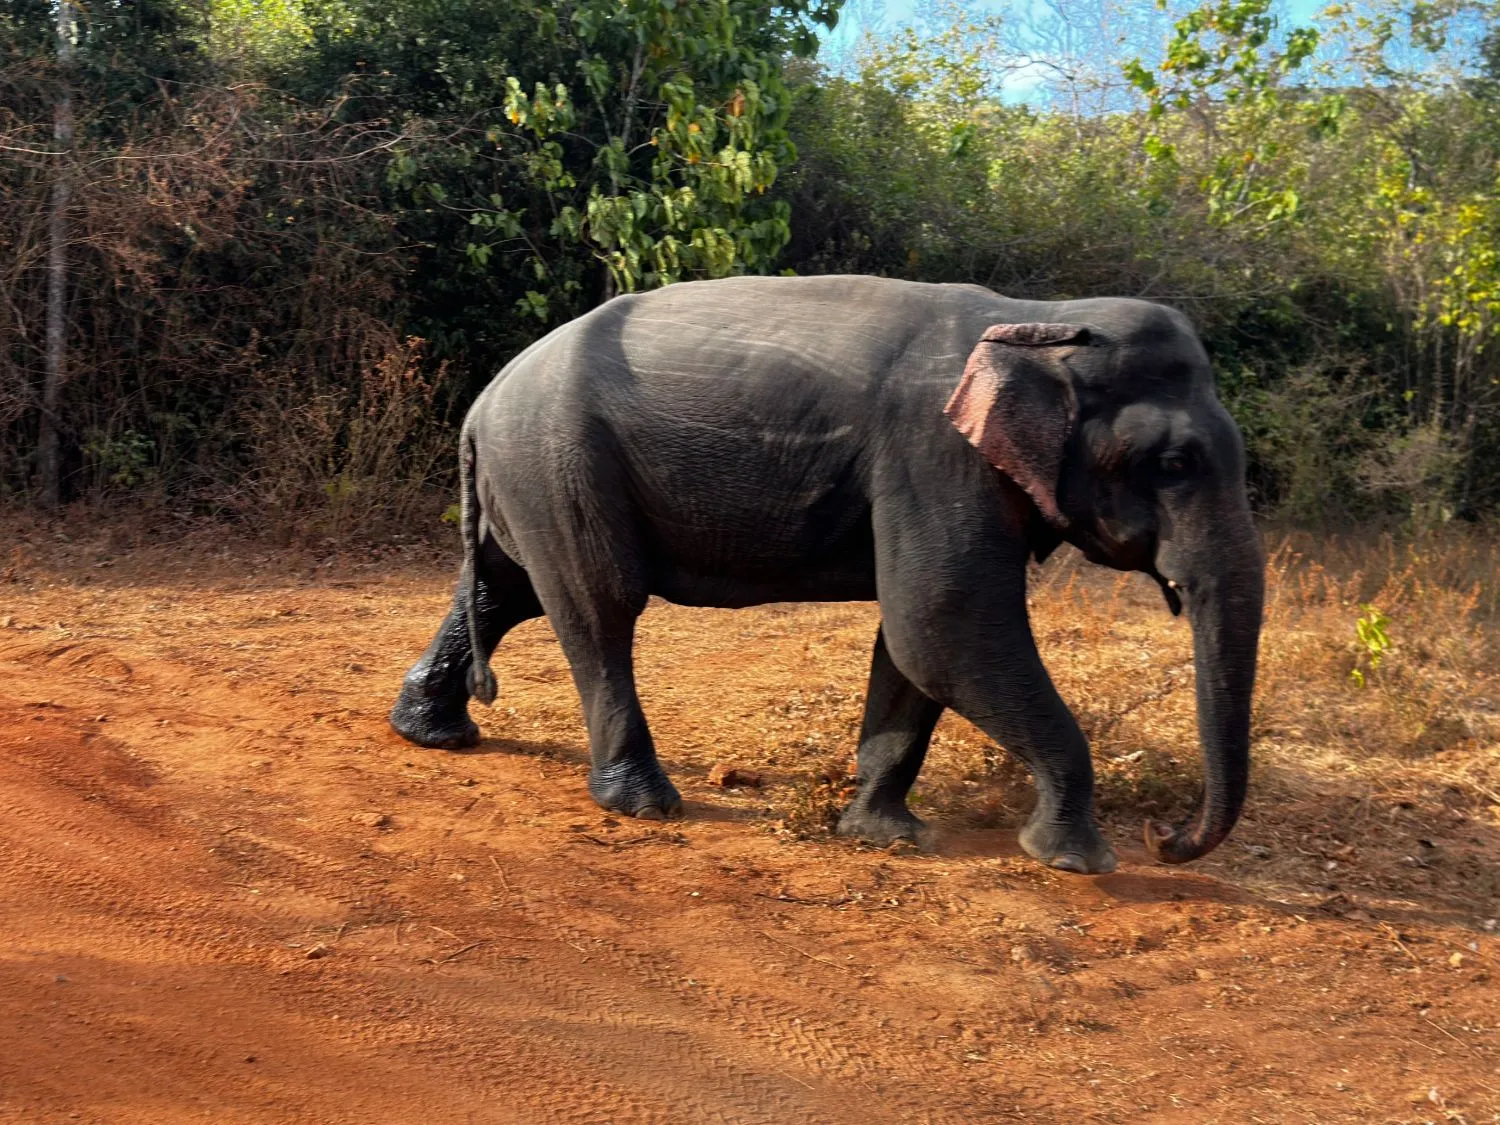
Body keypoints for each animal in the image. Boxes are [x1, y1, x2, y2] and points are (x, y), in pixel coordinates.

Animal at [388, 274, 1264, 874]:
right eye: (1176, 464)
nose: (1164, 836)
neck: (1042, 317)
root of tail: (482, 404)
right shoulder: (934, 455)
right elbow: (944, 623)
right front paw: (1076, 860)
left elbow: (915, 644)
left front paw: (884, 833)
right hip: (559, 461)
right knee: (597, 604)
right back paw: (647, 805)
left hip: (534, 472)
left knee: (505, 592)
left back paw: (434, 733)